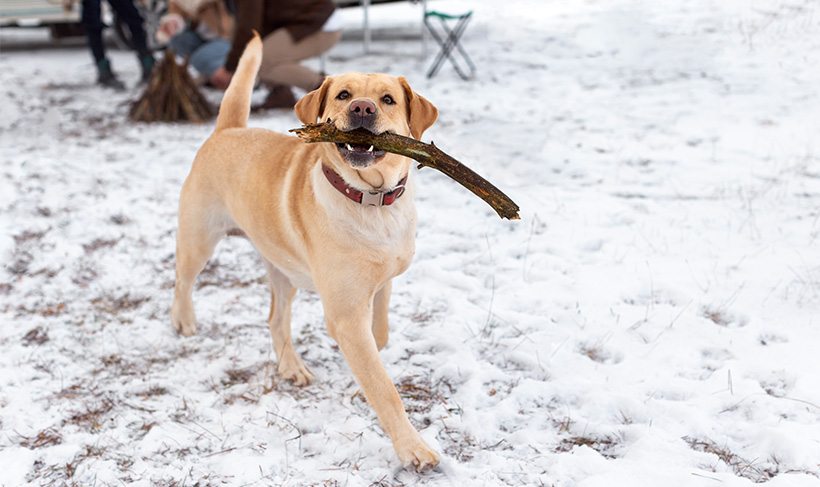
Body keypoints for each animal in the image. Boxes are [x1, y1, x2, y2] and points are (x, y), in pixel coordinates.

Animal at [171, 35, 442, 472]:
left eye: (387, 99)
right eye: (343, 94)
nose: (361, 108)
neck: (370, 200)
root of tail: (229, 130)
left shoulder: (381, 285)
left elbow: (380, 339)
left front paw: (358, 386)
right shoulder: (345, 314)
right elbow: (384, 387)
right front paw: (411, 447)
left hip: (283, 270)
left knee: (275, 318)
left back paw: (291, 366)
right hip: (200, 238)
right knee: (181, 279)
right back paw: (183, 320)